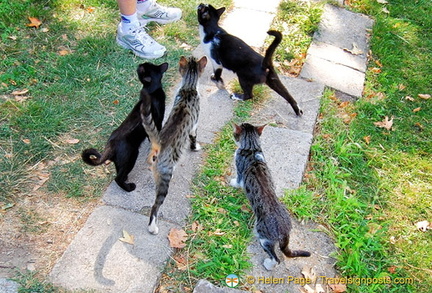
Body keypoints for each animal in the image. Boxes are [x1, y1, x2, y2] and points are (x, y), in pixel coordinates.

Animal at [82, 61, 168, 192]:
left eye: (147, 64)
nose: (140, 63)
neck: (151, 90)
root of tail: (110, 145)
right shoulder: (158, 121)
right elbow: (156, 133)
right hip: (131, 157)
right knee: (117, 178)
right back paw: (129, 187)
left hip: (120, 162)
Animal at [141, 54, 207, 234]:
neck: (188, 88)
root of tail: (159, 143)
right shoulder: (194, 125)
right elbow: (193, 139)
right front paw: (196, 147)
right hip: (165, 181)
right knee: (155, 206)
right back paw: (152, 227)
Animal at [230, 122, 310, 270]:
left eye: (235, 134)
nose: (233, 136)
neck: (252, 149)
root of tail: (284, 231)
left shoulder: (239, 169)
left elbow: (238, 180)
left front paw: (232, 183)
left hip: (263, 237)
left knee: (275, 258)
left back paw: (268, 264)